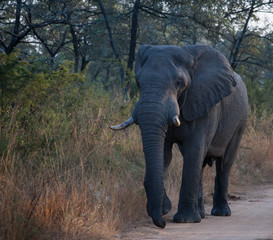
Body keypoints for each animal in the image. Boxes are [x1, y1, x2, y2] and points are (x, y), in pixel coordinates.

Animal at [109, 45, 248, 229]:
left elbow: (194, 149)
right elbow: (165, 154)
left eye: (179, 83)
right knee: (201, 165)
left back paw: (221, 213)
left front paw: (184, 220)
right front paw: (165, 209)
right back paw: (201, 214)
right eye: (138, 83)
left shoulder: (207, 104)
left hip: (241, 120)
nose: (162, 224)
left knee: (224, 163)